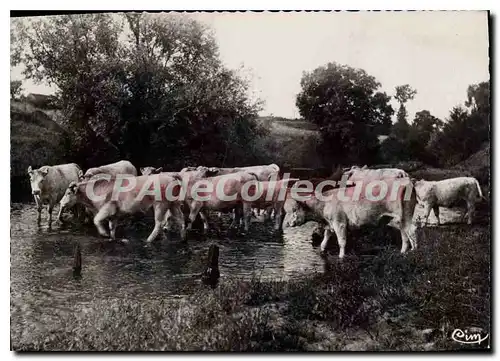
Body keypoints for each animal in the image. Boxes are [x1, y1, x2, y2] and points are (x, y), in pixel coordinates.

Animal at [284, 176, 416, 256]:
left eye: (294, 210)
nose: (288, 223)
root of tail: (407, 181)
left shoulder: (339, 223)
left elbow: (341, 241)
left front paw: (341, 257)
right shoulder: (330, 224)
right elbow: (324, 240)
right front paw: (322, 251)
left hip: (404, 215)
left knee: (411, 231)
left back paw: (415, 252)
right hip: (402, 219)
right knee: (405, 233)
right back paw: (404, 251)